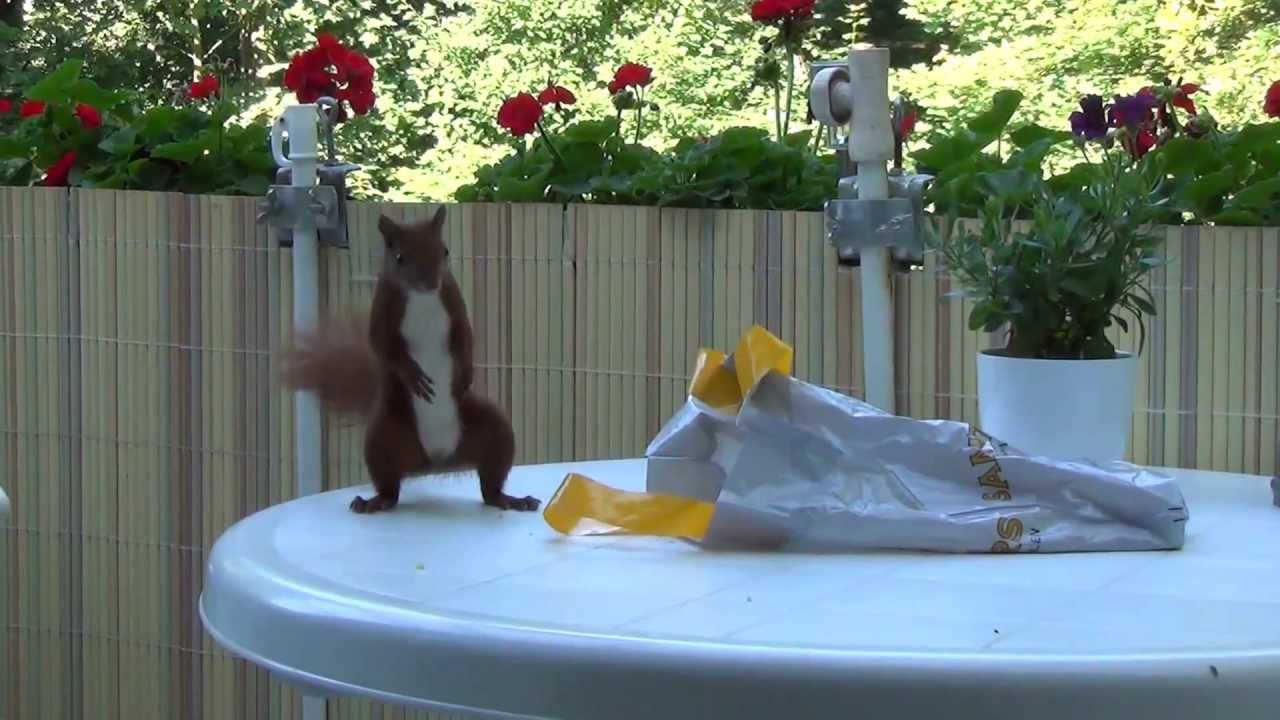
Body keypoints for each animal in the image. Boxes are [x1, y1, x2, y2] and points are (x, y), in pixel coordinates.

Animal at [279, 206, 541, 514]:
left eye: (444, 251)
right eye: (400, 258)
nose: (429, 283)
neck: (422, 298)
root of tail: (436, 461)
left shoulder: (452, 299)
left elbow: (466, 339)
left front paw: (464, 374)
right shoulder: (383, 306)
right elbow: (383, 346)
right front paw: (412, 375)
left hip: (493, 429)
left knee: (491, 484)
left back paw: (510, 499)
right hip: (382, 439)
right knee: (390, 486)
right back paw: (374, 502)